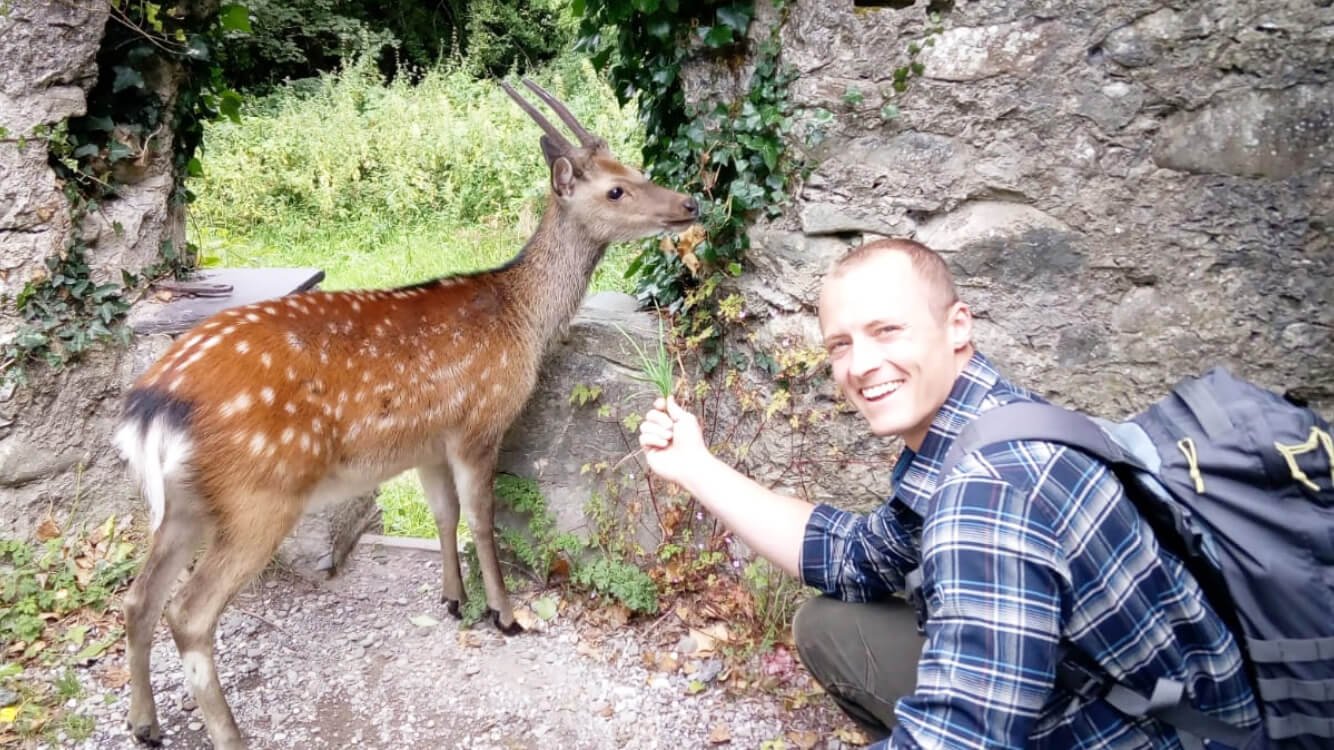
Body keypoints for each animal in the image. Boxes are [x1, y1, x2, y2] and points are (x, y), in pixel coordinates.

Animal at [112, 78, 699, 741]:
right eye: (615, 189)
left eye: (636, 168)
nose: (688, 204)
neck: (521, 320)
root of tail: (153, 404)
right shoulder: (478, 422)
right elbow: (480, 519)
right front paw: (505, 615)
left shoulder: (426, 444)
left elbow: (445, 515)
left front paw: (452, 600)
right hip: (260, 492)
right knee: (187, 612)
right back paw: (229, 736)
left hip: (186, 499)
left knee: (138, 598)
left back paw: (144, 724)